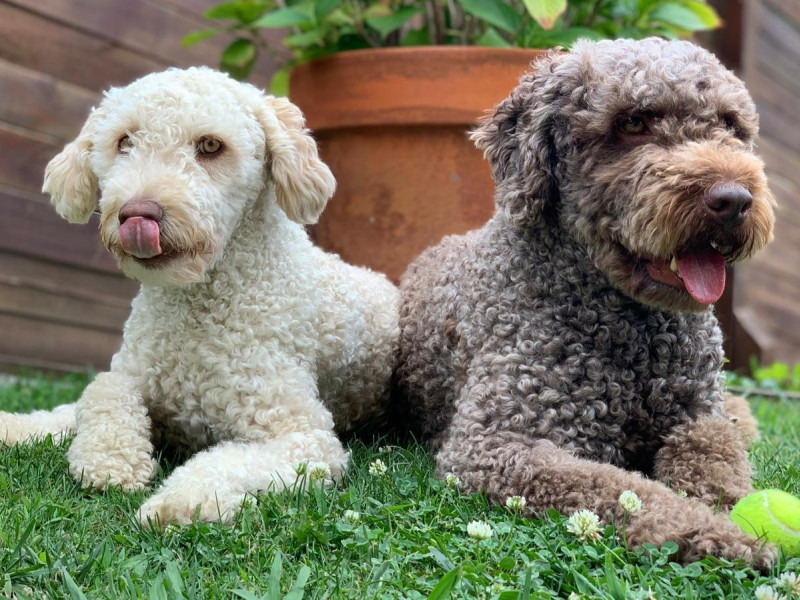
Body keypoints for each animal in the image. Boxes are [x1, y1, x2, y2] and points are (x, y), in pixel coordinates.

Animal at [0, 67, 398, 524]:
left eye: (210, 146)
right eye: (124, 142)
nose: (137, 214)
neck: (194, 307)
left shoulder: (300, 435)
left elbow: (223, 463)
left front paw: (175, 501)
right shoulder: (134, 371)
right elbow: (97, 392)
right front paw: (100, 455)